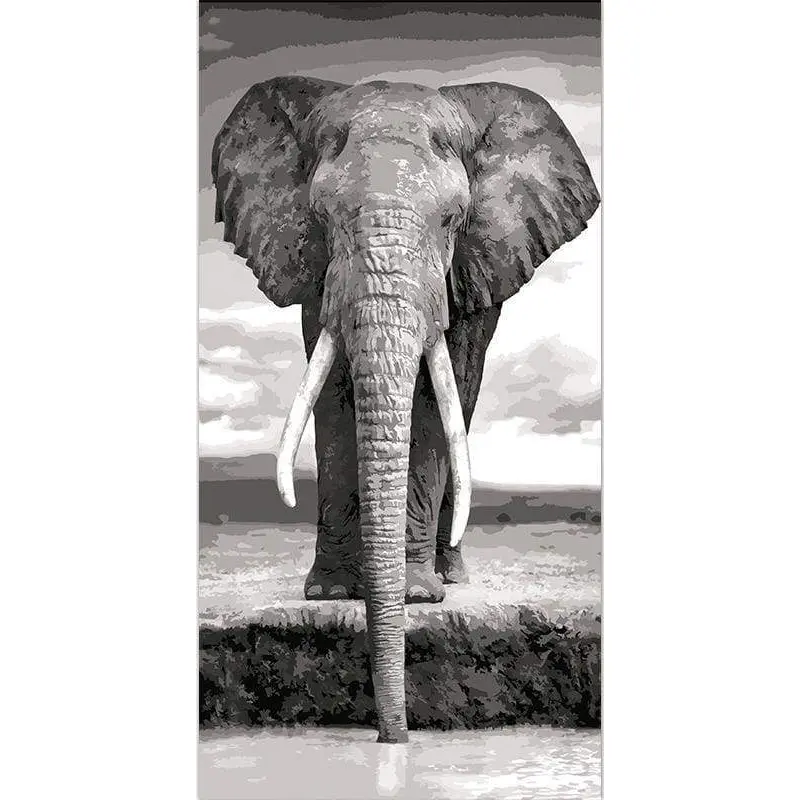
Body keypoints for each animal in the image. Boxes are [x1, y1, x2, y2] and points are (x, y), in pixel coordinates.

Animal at [211, 76, 599, 743]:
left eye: (452, 221)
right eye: (321, 217)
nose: (393, 737)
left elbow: (431, 400)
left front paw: (416, 598)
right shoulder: (317, 272)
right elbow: (334, 394)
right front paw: (332, 594)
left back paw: (449, 578)